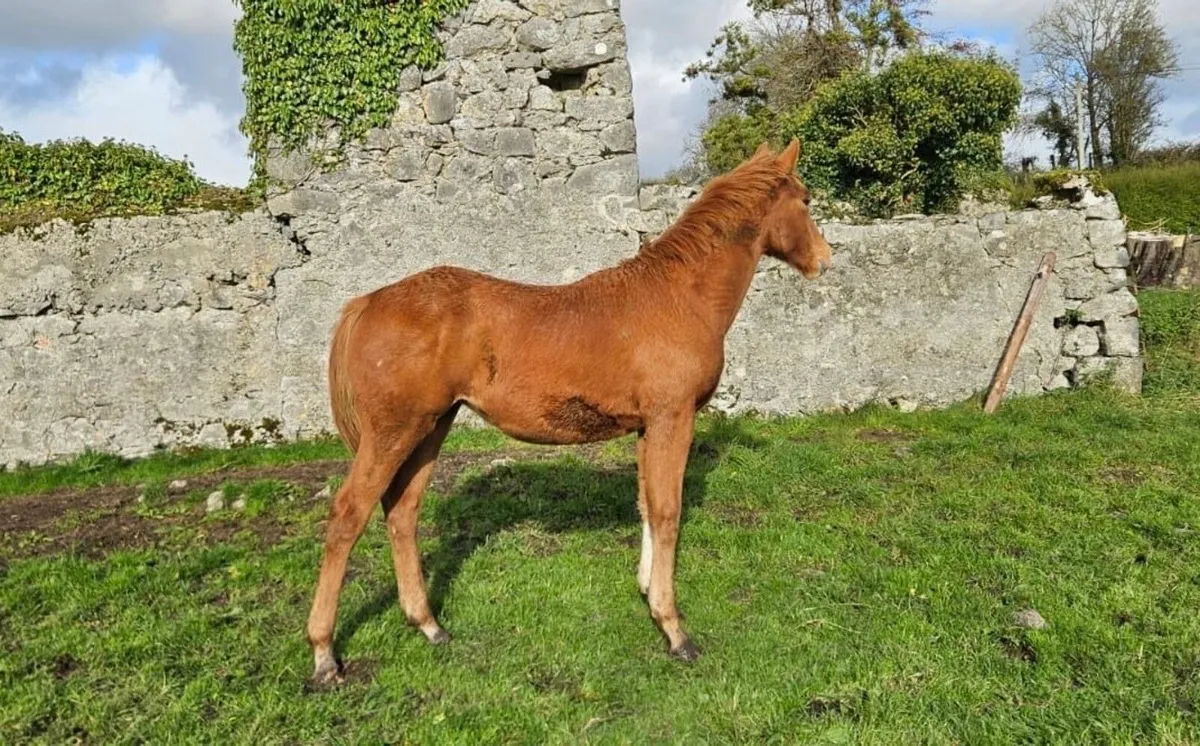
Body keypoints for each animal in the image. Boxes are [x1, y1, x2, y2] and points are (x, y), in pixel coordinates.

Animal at [305, 138, 834, 685]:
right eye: (806, 200)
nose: (825, 260)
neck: (680, 295)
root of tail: (366, 303)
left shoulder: (647, 427)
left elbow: (646, 504)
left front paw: (647, 592)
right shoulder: (673, 417)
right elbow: (668, 511)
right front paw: (673, 629)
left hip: (431, 428)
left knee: (402, 512)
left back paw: (429, 624)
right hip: (394, 431)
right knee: (348, 515)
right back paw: (324, 654)